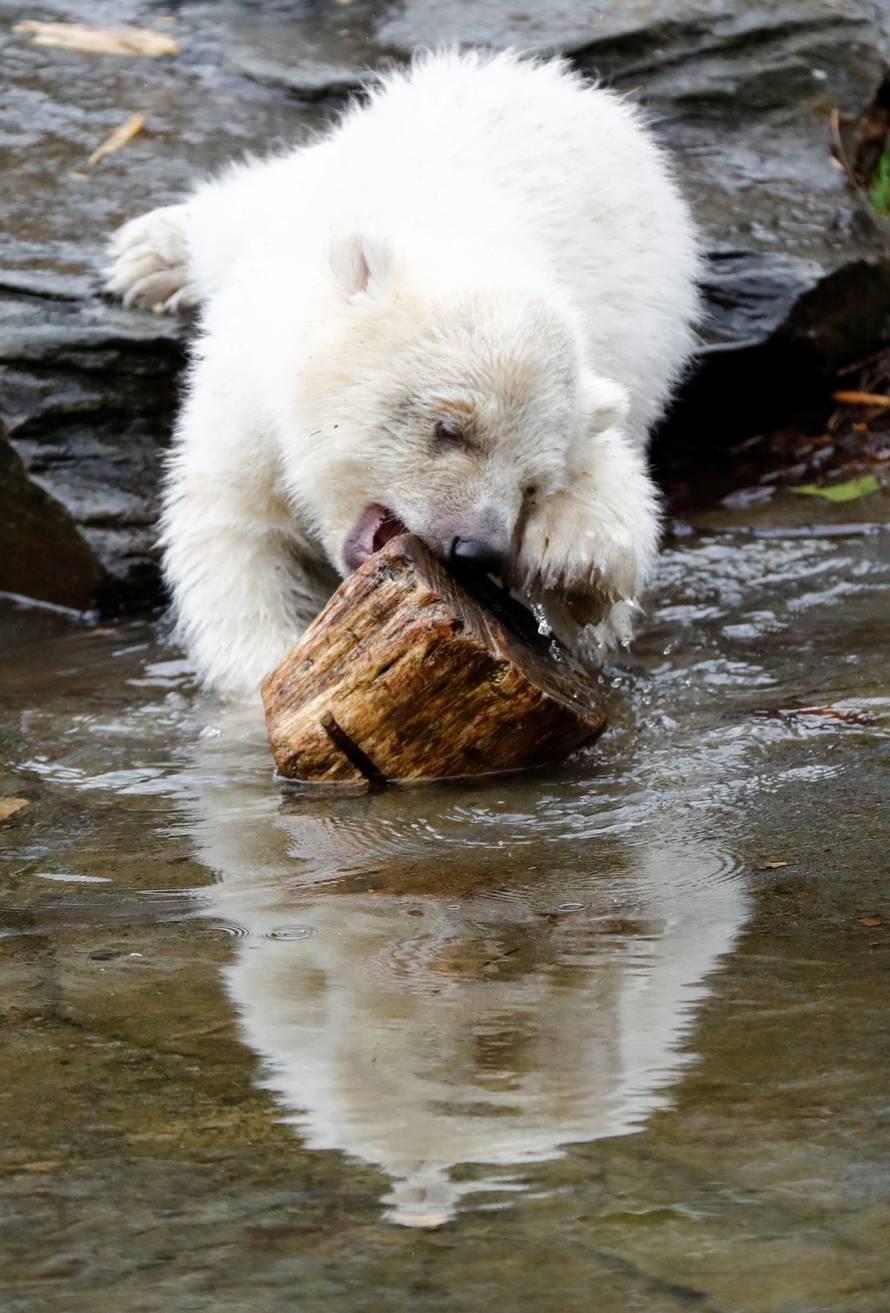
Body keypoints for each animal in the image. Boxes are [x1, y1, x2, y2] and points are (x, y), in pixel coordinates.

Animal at [106, 49, 701, 698]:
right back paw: (154, 254)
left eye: (534, 483)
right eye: (449, 430)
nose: (477, 550)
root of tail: (554, 79)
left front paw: (569, 555)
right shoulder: (247, 393)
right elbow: (229, 535)